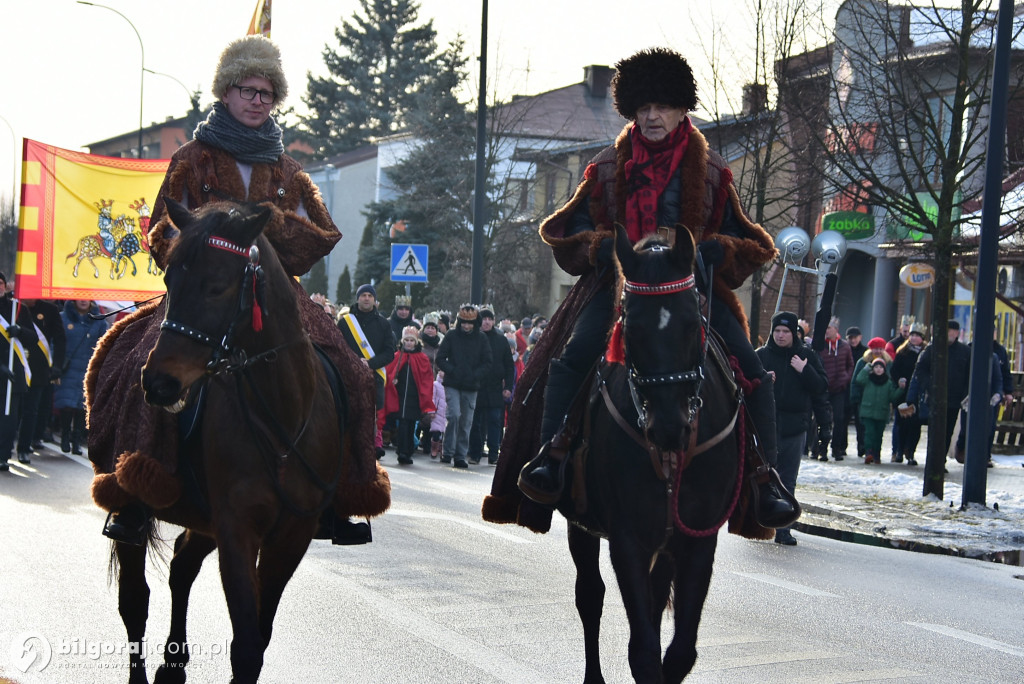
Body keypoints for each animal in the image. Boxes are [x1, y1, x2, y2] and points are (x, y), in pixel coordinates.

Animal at [111, 198, 344, 684]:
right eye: (168, 279)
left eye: (217, 286)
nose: (158, 382)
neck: (281, 416)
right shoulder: (237, 528)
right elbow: (247, 645)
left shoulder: (290, 537)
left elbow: (260, 635)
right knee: (134, 601)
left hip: (204, 522)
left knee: (180, 568)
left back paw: (174, 662)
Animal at [561, 227, 745, 679]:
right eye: (631, 325)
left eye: (692, 322)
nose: (668, 427)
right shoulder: (627, 540)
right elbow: (642, 649)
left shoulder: (699, 542)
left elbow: (680, 651)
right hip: (581, 524)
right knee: (590, 596)